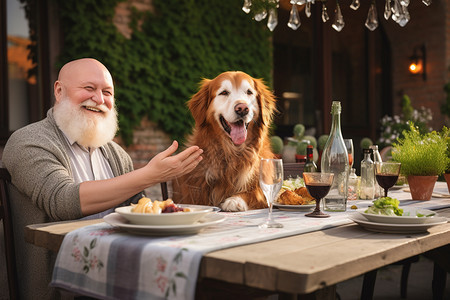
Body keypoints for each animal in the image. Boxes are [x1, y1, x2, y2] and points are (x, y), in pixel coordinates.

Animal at [173, 71, 276, 211]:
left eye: (249, 92)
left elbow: (257, 192)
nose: (242, 108)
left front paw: (235, 201)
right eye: (224, 93)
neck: (232, 152)